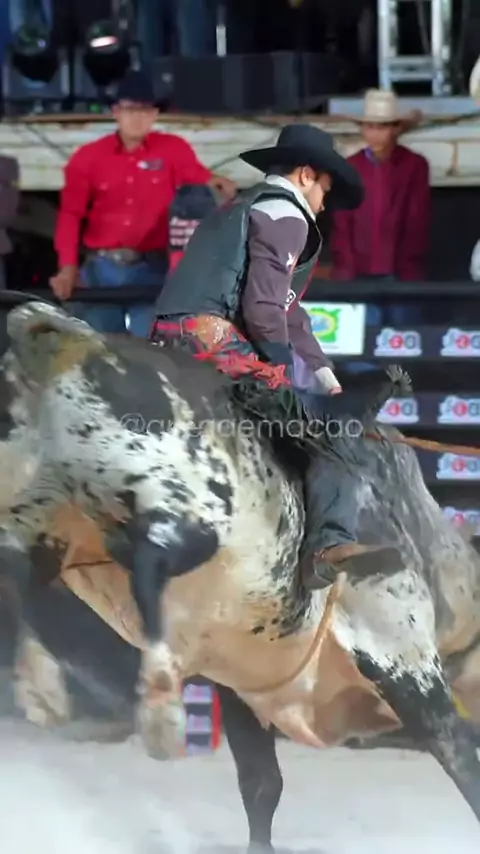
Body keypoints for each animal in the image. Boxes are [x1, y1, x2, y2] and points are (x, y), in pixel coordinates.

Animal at [0, 298, 480, 854]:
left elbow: (261, 783)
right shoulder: (402, 657)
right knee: (155, 553)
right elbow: (461, 756)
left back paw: (52, 686)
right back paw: (153, 703)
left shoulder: (242, 680)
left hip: (48, 513)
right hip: (184, 501)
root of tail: (62, 337)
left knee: (33, 575)